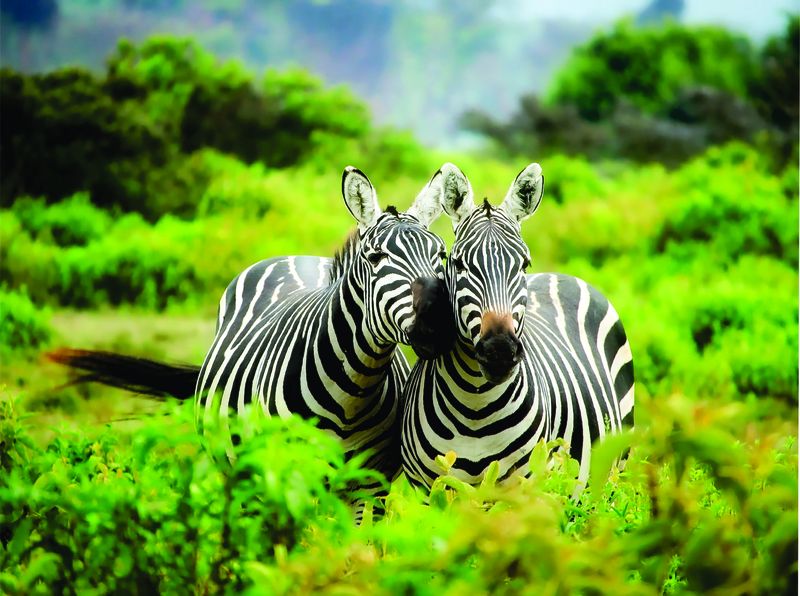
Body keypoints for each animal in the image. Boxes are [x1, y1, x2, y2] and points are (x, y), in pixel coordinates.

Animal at [49, 165, 456, 499]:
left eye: (441, 255)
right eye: (375, 258)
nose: (438, 323)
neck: (352, 393)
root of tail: (297, 257)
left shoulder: (370, 486)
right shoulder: (288, 475)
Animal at [400, 163, 635, 494]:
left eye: (524, 264)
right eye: (458, 263)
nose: (499, 351)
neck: (475, 406)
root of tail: (561, 275)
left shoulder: (524, 488)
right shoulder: (428, 490)